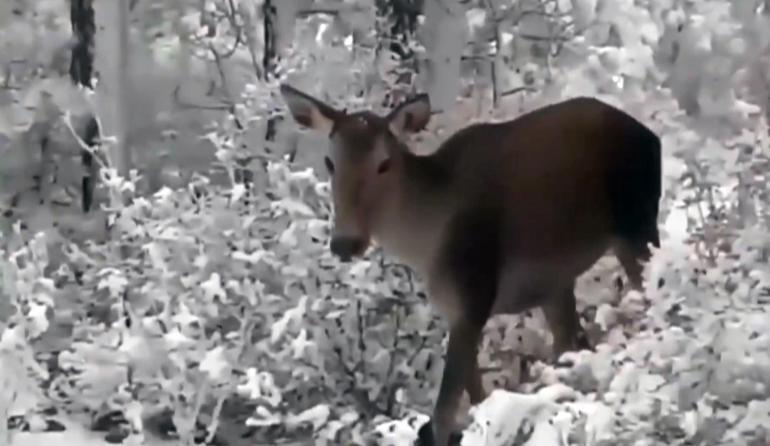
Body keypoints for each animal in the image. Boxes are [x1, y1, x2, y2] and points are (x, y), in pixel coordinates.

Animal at [278, 84, 660, 446]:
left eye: (383, 163)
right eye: (330, 162)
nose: (345, 242)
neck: (425, 244)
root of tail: (651, 136)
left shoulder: (475, 294)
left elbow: (444, 412)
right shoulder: (455, 308)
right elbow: (476, 398)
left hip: (637, 225)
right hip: (560, 281)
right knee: (573, 341)